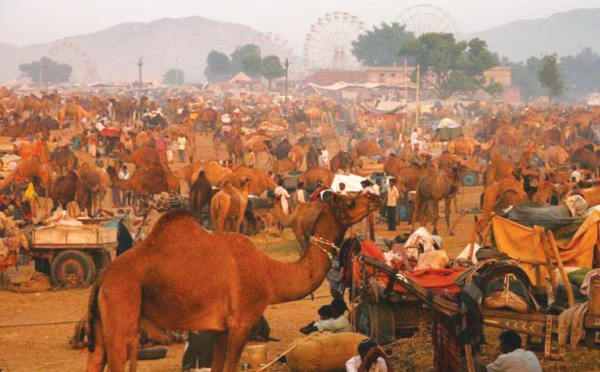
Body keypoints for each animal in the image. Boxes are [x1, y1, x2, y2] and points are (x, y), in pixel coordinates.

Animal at [86, 193, 378, 370]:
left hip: (103, 324)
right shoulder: (241, 323)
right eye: (349, 203)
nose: (373, 197)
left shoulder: (223, 329)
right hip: (121, 306)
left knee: (96, 357)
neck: (269, 274)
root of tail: (102, 279)